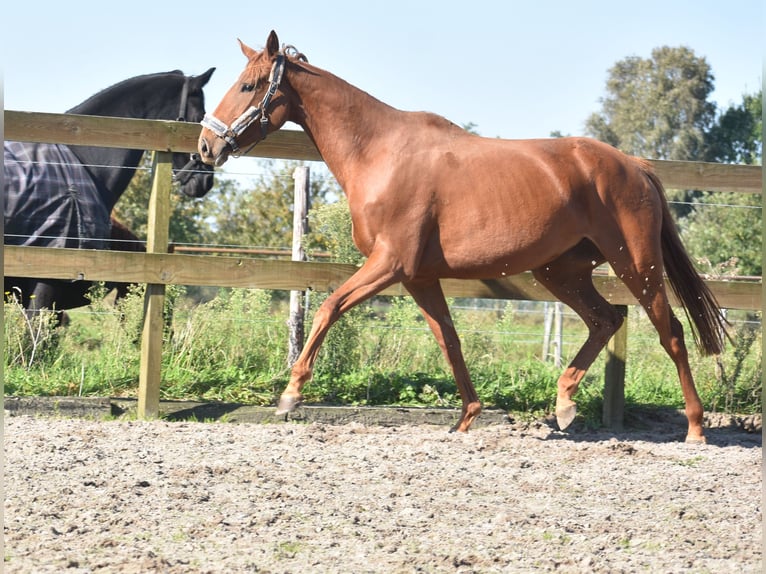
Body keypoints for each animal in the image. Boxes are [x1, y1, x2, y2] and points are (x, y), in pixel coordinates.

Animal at [198, 31, 728, 444]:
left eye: (248, 85)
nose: (207, 145)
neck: (379, 154)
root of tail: (634, 165)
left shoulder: (389, 264)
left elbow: (329, 307)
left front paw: (289, 396)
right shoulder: (417, 277)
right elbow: (448, 339)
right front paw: (467, 418)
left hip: (636, 264)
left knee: (671, 332)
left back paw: (695, 429)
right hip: (561, 271)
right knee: (607, 319)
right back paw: (564, 405)